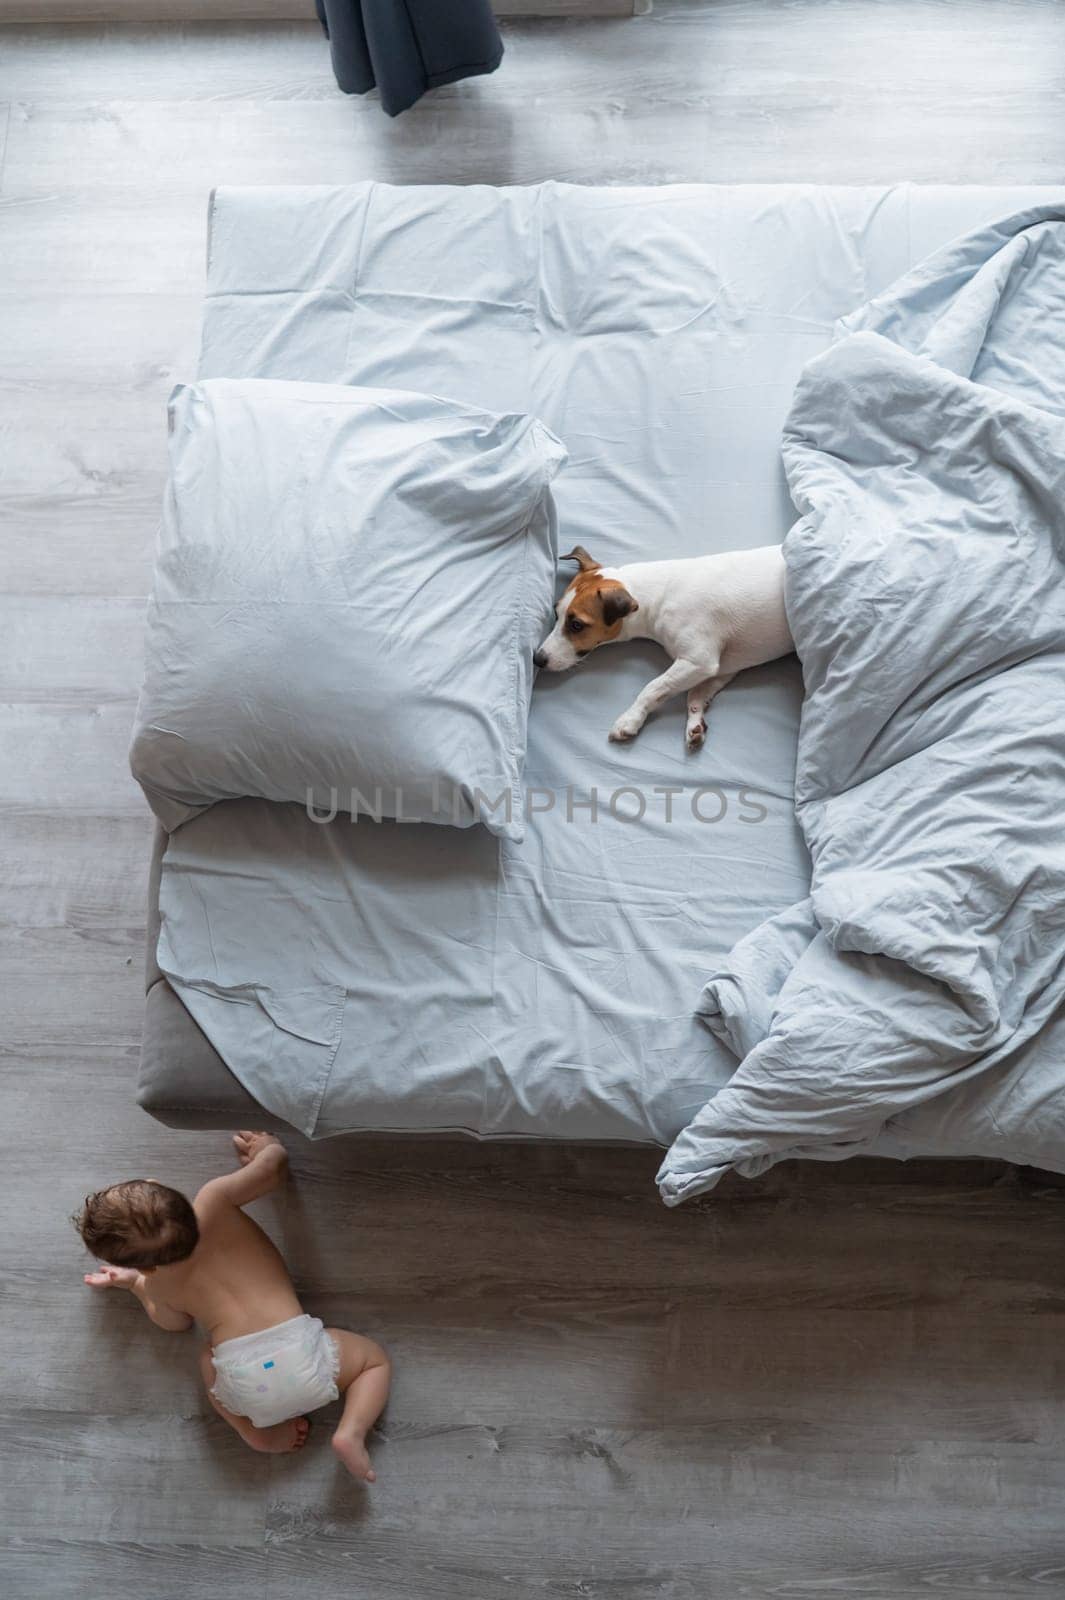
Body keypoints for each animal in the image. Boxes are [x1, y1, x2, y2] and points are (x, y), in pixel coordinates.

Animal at [530, 544, 786, 748]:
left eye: (576, 625)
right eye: (556, 613)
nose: (537, 659)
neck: (657, 594)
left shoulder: (698, 660)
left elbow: (653, 687)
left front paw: (631, 719)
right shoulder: (722, 667)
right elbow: (694, 693)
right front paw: (695, 721)